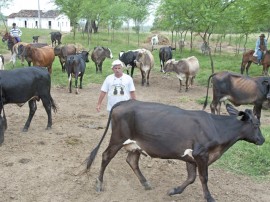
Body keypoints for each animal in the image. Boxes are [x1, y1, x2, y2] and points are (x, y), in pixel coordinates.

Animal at [85, 99, 264, 202]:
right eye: (256, 125)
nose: (262, 140)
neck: (217, 128)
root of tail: (124, 102)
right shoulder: (201, 154)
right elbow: (203, 178)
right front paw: (210, 198)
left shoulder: (191, 157)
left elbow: (191, 178)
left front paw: (174, 191)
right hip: (117, 138)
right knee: (105, 156)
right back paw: (99, 184)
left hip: (135, 145)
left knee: (132, 161)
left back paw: (146, 183)